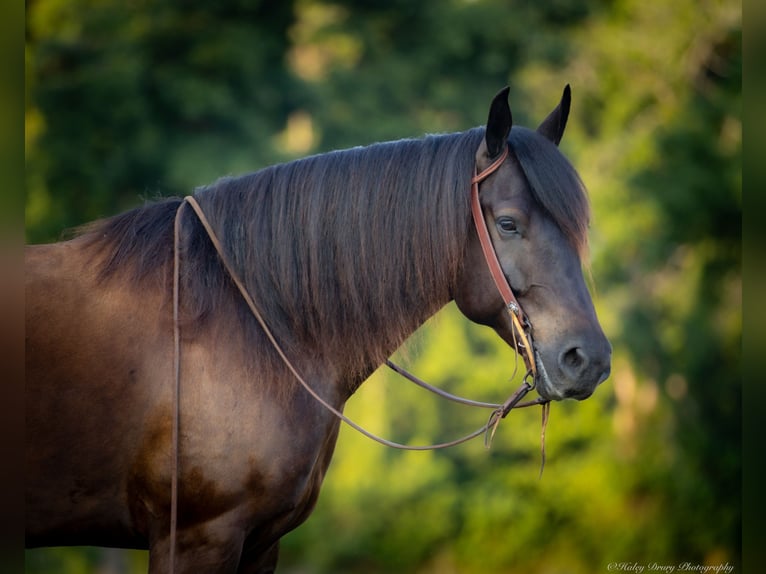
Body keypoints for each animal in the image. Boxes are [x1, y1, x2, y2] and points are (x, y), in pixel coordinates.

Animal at [27, 86, 612, 574]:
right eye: (509, 223)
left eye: (574, 227)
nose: (589, 359)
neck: (245, 326)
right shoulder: (196, 538)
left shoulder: (261, 543)